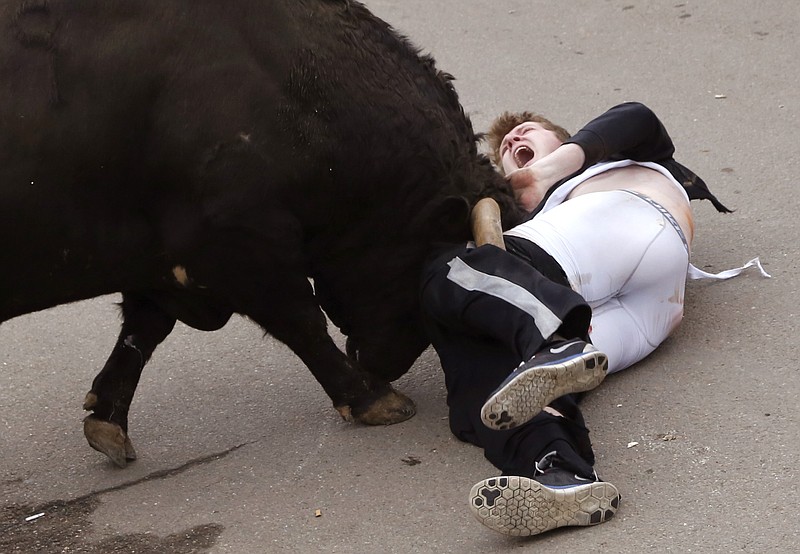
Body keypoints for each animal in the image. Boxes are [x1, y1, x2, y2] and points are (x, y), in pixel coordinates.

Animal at [1, 0, 524, 466]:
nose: (382, 365)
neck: (295, 97)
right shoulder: (237, 249)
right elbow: (302, 322)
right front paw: (374, 398)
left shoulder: (168, 262)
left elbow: (142, 331)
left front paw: (107, 420)